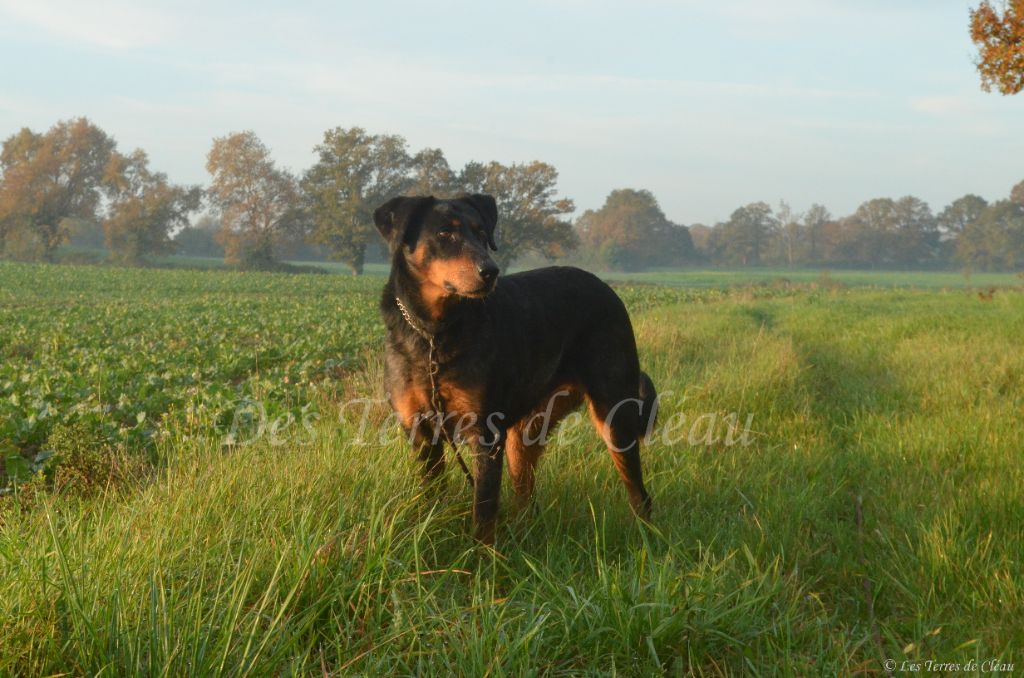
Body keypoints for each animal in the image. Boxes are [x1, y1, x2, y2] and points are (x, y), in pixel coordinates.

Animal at [376, 192, 655, 548]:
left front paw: (480, 560)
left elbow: (483, 512)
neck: (433, 335)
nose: (490, 271)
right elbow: (432, 499)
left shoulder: (484, 434)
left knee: (638, 493)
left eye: (482, 233)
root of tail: (606, 287)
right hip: (525, 432)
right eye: (444, 234)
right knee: (525, 500)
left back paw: (647, 539)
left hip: (614, 415)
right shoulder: (421, 431)